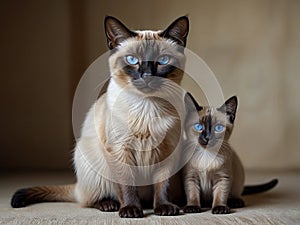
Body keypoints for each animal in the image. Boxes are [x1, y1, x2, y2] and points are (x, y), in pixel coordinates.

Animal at [12, 16, 190, 218]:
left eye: (162, 60)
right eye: (132, 60)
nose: (146, 76)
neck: (147, 105)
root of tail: (78, 186)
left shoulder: (168, 151)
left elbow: (162, 185)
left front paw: (164, 208)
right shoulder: (119, 150)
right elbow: (127, 186)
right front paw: (130, 210)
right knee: (89, 200)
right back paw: (109, 205)